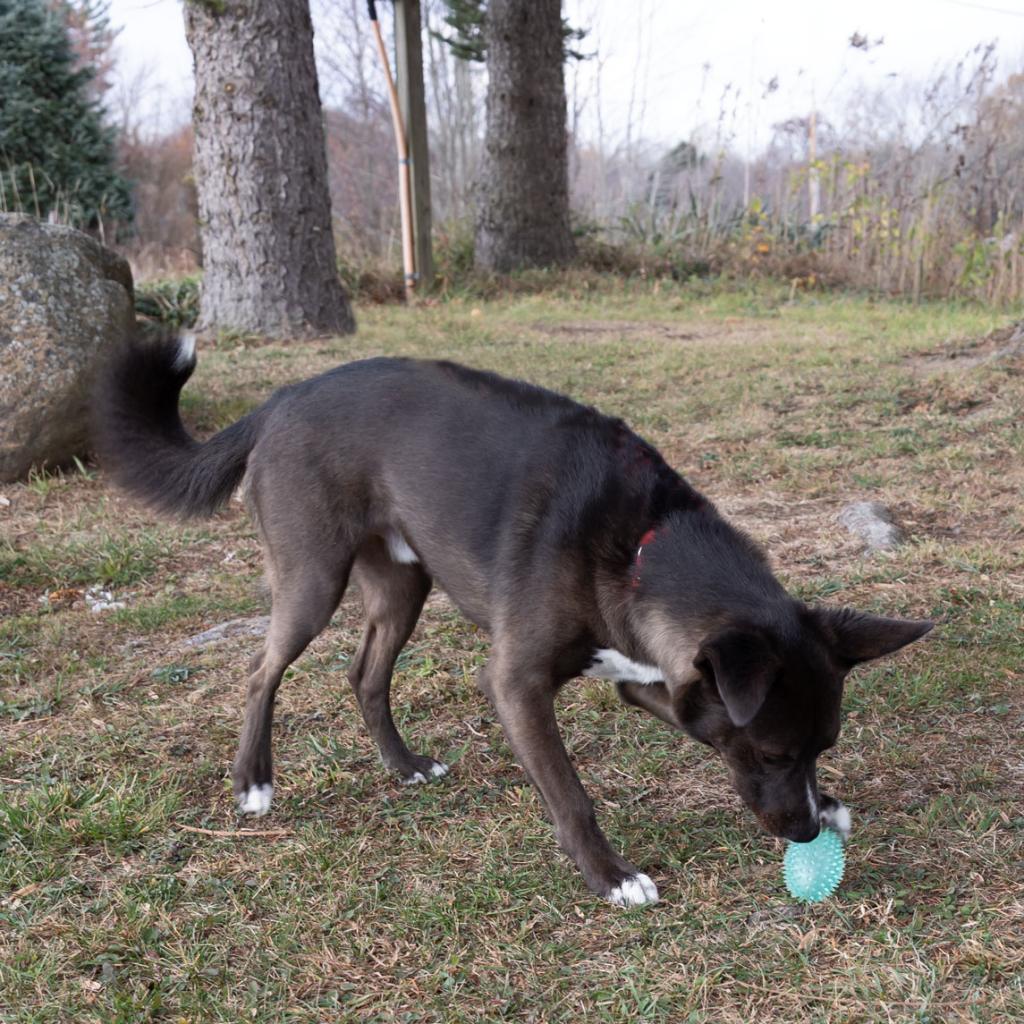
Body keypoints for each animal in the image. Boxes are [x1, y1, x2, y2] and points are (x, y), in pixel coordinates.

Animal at [94, 333, 929, 905]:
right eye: (773, 751)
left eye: (821, 749)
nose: (807, 830)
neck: (643, 545)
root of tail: (281, 397)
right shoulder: (517, 683)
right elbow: (571, 795)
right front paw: (612, 876)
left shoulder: (646, 674)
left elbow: (678, 714)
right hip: (312, 579)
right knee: (261, 669)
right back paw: (254, 782)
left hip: (404, 583)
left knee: (364, 674)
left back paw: (404, 766)